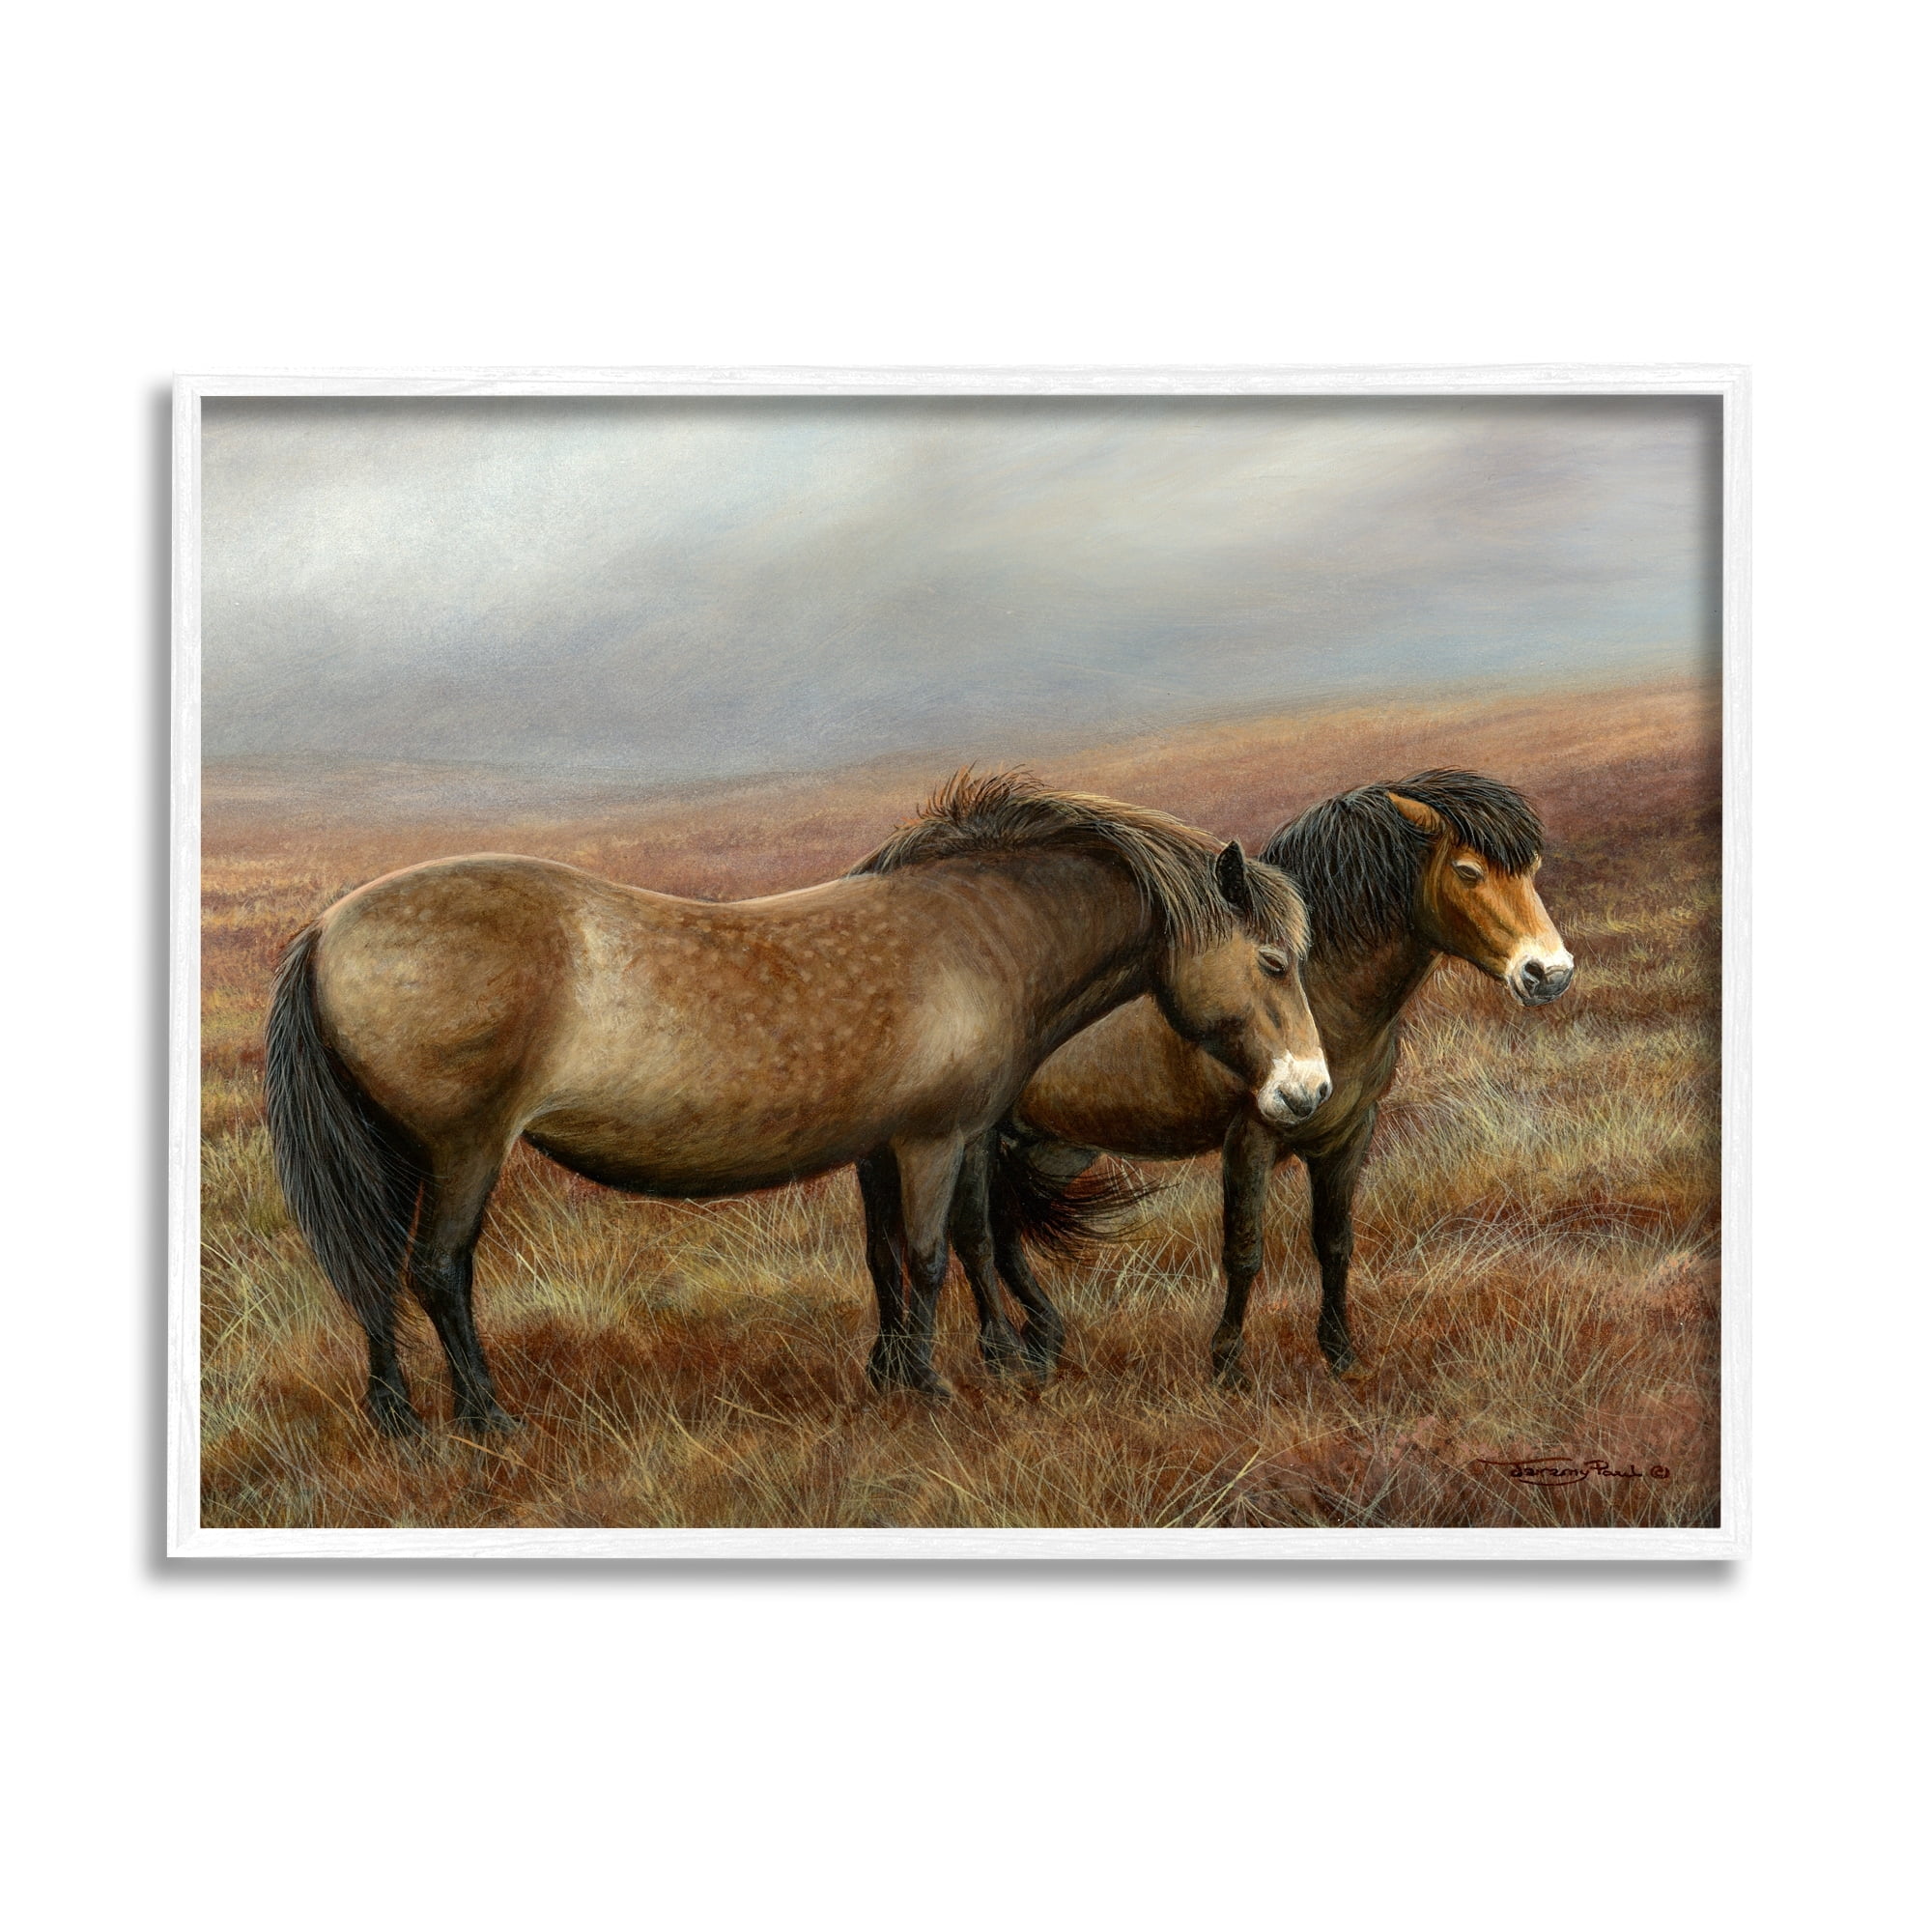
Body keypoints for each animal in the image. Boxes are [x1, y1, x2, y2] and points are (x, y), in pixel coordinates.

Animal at [264, 770, 1331, 1434]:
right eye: (1273, 960)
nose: (1308, 1090)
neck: (983, 933)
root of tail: (325, 929)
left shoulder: (899, 1144)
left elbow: (919, 1252)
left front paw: (937, 1365)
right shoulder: (934, 1138)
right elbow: (933, 1254)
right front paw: (935, 1384)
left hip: (396, 1152)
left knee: (370, 1270)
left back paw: (398, 1419)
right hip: (464, 1149)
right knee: (437, 1271)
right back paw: (487, 1417)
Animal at [938, 770, 1573, 1384]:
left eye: (1534, 870)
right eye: (1468, 871)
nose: (1550, 974)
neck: (1320, 991)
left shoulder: (1348, 1136)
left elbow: (1335, 1243)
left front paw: (1340, 1354)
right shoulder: (1249, 1139)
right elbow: (1244, 1250)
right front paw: (1227, 1365)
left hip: (1056, 1146)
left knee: (1007, 1226)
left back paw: (1044, 1342)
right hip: (981, 1141)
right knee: (978, 1233)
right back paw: (1013, 1353)